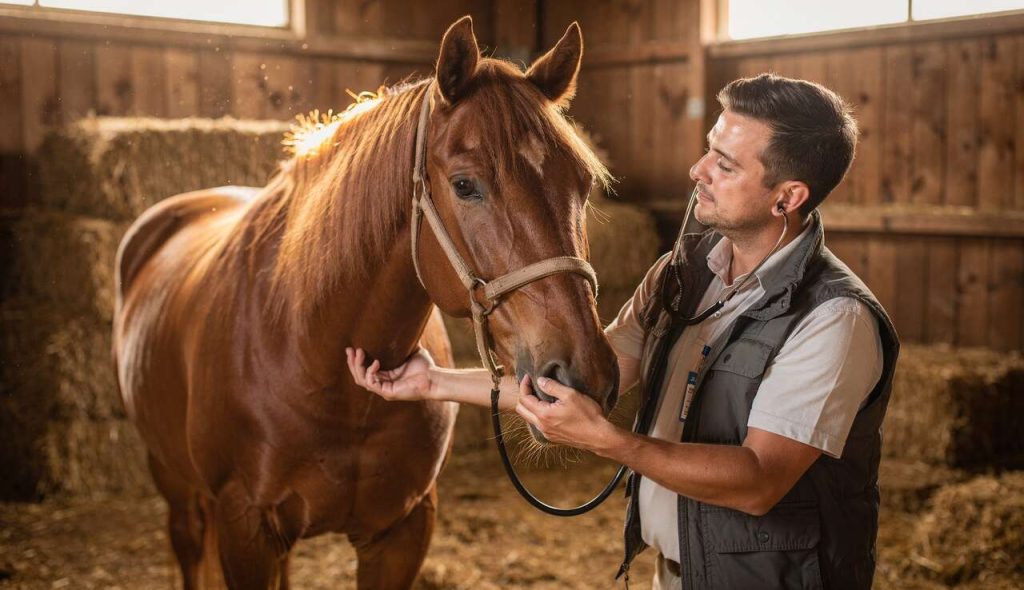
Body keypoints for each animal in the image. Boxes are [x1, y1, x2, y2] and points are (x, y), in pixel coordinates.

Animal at [112, 15, 619, 589]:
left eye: (583, 183)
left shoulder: (402, 530)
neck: (319, 360)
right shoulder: (244, 526)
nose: (585, 373)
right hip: (172, 479)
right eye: (465, 185)